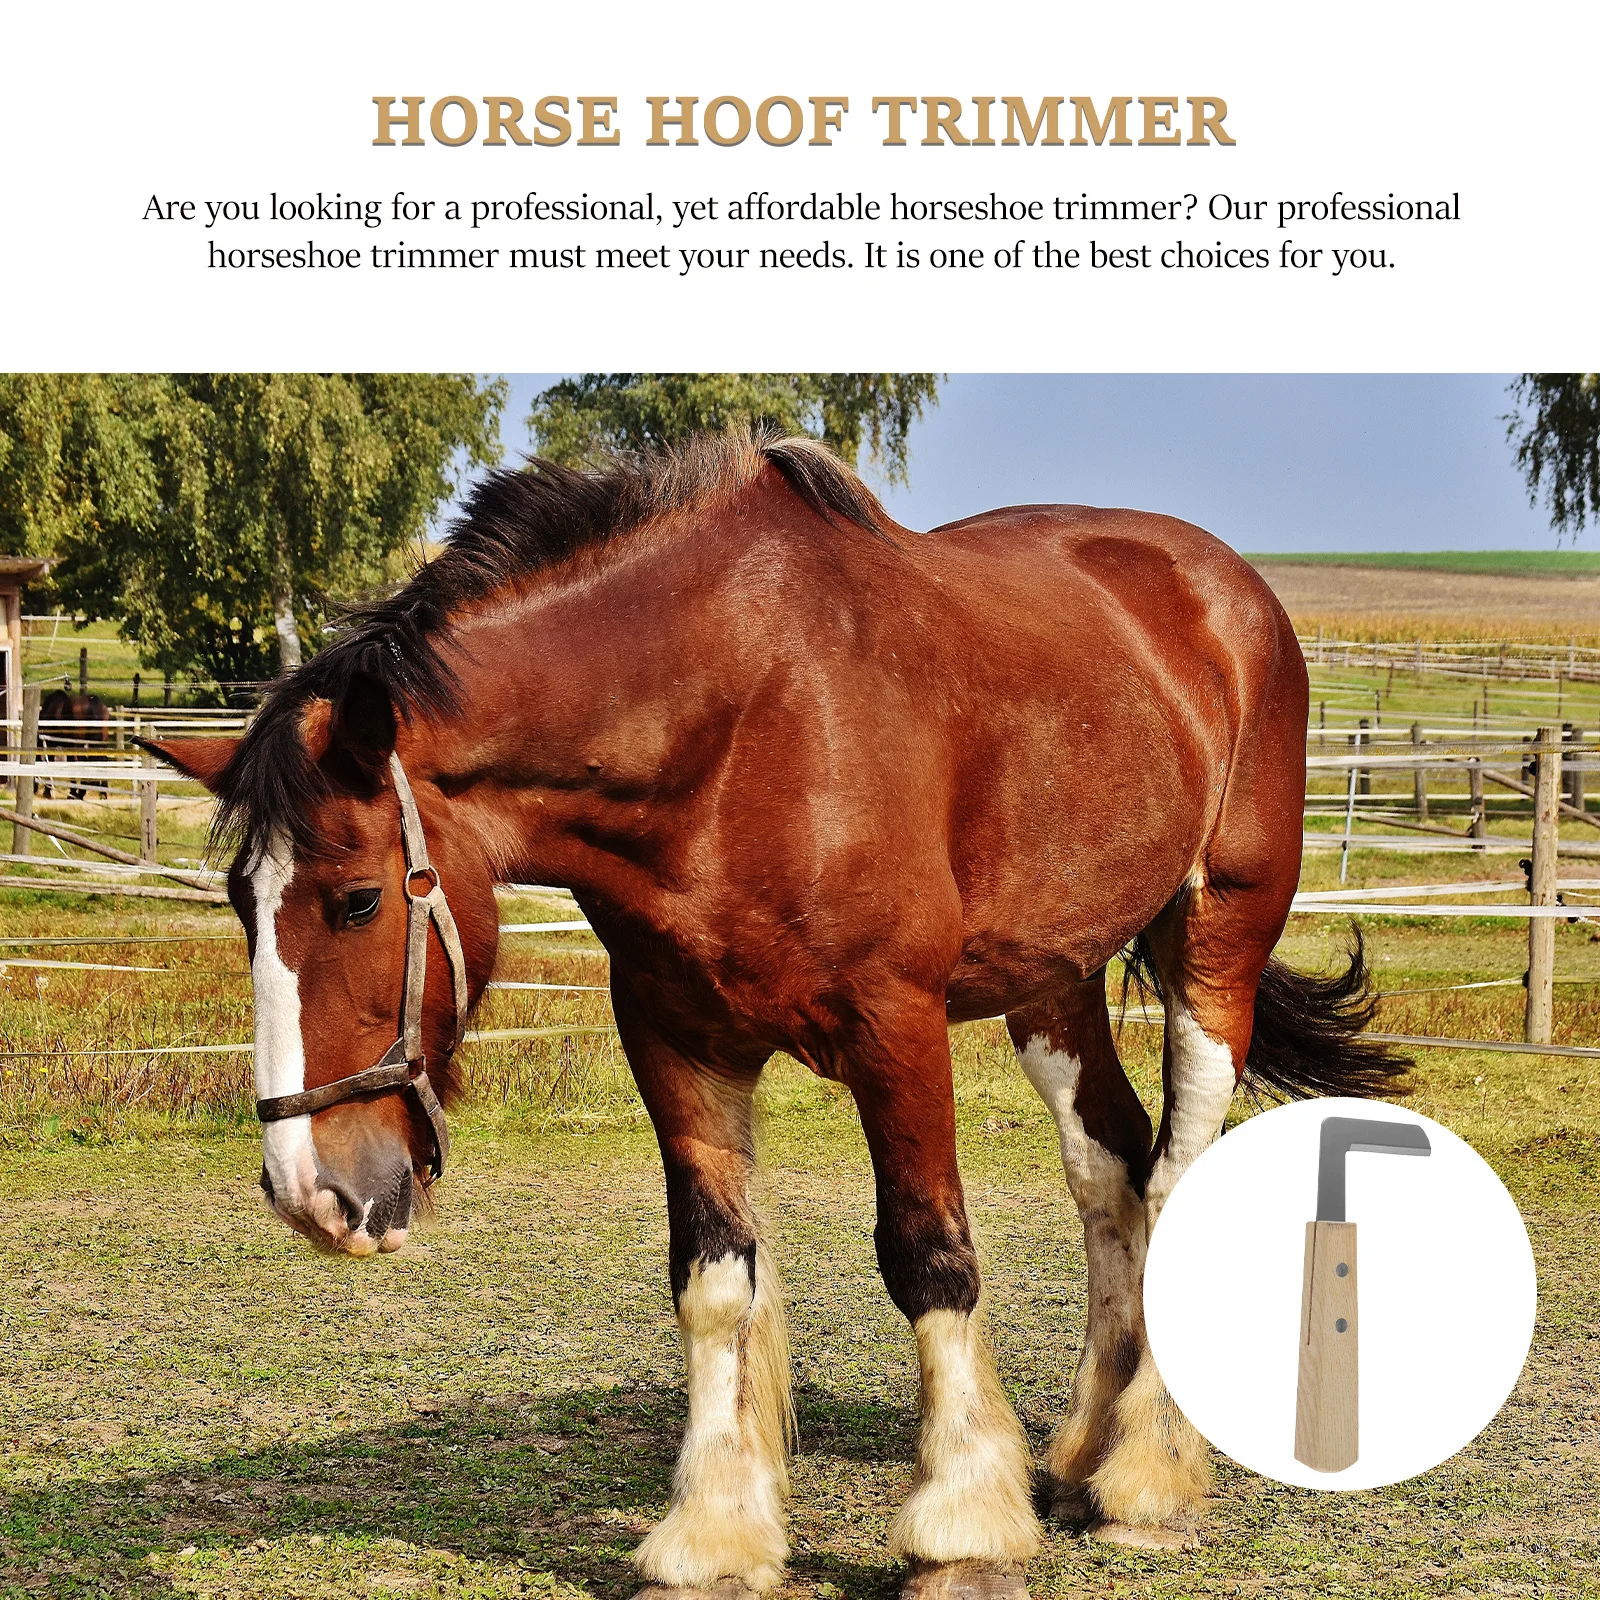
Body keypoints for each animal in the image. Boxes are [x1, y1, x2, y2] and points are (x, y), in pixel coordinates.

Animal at [145, 431, 1406, 1600]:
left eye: (356, 898)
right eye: (241, 903)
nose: (312, 1191)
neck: (735, 723)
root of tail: (1223, 588)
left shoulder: (896, 1028)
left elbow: (929, 1258)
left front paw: (959, 1527)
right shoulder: (675, 1038)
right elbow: (712, 1277)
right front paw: (713, 1533)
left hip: (1215, 941)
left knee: (1177, 1163)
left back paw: (1147, 1474)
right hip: (1052, 977)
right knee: (1109, 1169)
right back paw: (1079, 1454)